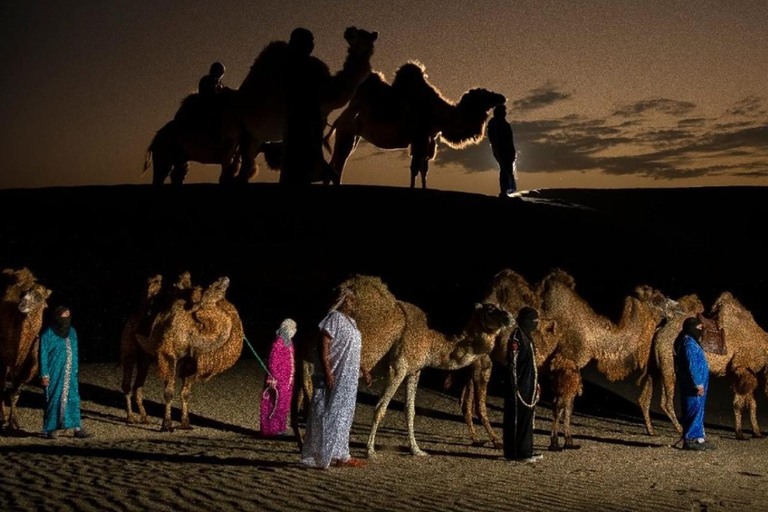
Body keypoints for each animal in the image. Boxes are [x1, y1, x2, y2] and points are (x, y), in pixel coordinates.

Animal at [0, 268, 51, 432]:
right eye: (23, 294)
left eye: (39, 297)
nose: (22, 305)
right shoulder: (3, 362)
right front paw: (4, 419)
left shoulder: (28, 368)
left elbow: (15, 394)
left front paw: (13, 423)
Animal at [328, 60, 508, 188]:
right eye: (485, 94)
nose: (502, 97)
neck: (438, 114)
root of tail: (340, 117)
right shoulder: (419, 137)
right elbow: (415, 168)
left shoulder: (428, 138)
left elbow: (423, 169)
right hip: (346, 132)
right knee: (339, 161)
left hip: (352, 136)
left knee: (337, 161)